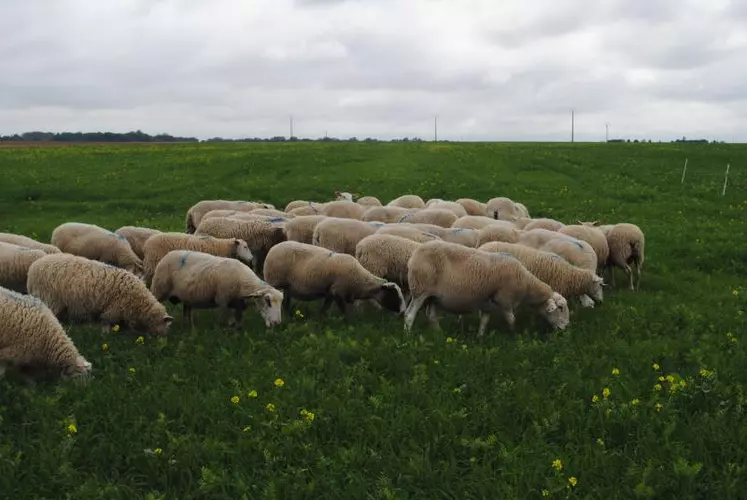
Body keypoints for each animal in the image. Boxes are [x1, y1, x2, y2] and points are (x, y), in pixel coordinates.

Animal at [27, 254, 174, 336]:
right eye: (165, 325)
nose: (162, 339)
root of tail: (33, 267)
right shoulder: (113, 309)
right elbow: (106, 322)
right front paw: (105, 333)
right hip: (49, 298)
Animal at [151, 249, 284, 328]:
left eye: (281, 303)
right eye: (267, 301)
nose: (277, 323)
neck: (242, 282)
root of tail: (168, 254)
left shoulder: (238, 304)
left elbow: (239, 322)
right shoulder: (223, 300)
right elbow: (230, 322)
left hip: (186, 296)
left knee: (186, 311)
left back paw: (189, 326)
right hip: (159, 289)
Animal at [262, 240, 404, 318]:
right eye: (394, 295)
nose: (402, 312)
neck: (360, 281)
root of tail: (272, 249)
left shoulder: (330, 292)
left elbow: (324, 309)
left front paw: (321, 319)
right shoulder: (338, 291)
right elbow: (344, 311)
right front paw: (348, 322)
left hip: (287, 286)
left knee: (286, 301)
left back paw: (288, 315)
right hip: (274, 281)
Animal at [406, 238, 568, 336]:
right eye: (560, 308)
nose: (566, 328)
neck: (527, 284)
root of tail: (414, 255)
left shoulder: (487, 304)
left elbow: (484, 322)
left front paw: (480, 337)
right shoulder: (506, 300)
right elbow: (511, 319)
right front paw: (514, 335)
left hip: (433, 297)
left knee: (432, 317)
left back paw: (438, 335)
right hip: (420, 289)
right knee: (409, 315)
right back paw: (408, 335)